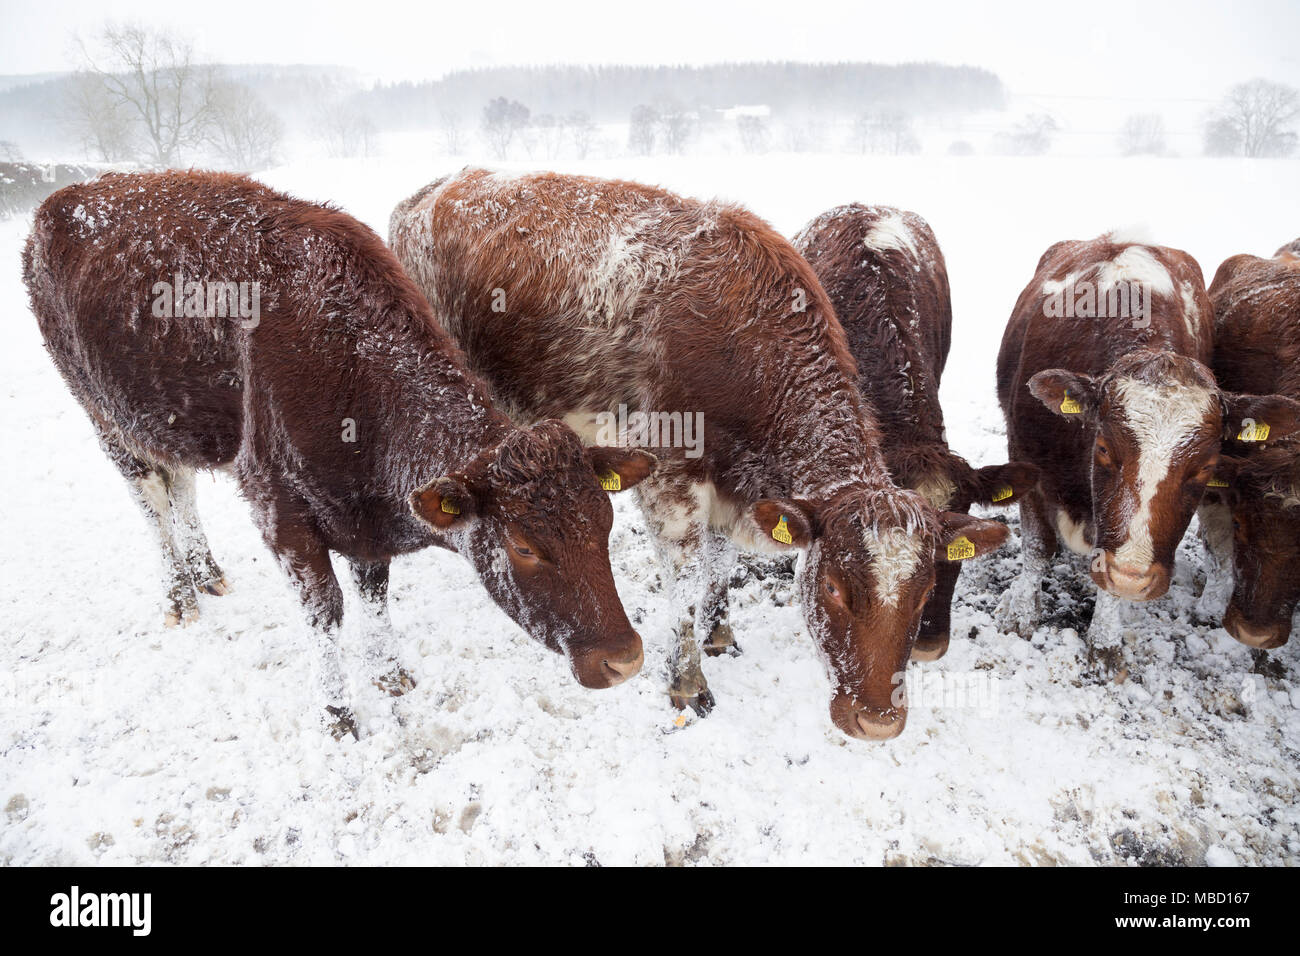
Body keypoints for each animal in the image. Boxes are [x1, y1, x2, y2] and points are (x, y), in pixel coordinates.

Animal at [20, 170, 650, 738]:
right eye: (523, 546)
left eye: (605, 523)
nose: (624, 659)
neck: (350, 364)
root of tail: (59, 201)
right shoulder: (282, 516)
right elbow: (325, 612)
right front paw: (338, 713)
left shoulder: (362, 518)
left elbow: (374, 594)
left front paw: (390, 673)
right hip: (106, 418)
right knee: (150, 499)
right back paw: (180, 592)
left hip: (167, 424)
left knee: (181, 485)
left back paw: (208, 573)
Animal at [390, 170, 1008, 738]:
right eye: (833, 587)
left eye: (924, 590)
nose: (877, 720)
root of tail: (433, 189)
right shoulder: (670, 483)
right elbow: (685, 582)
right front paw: (687, 682)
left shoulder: (738, 489)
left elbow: (720, 563)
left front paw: (719, 631)